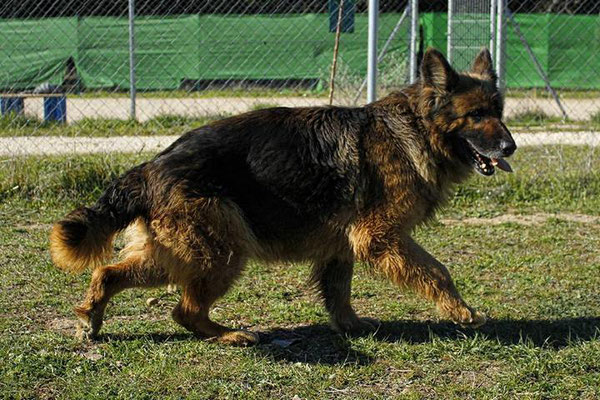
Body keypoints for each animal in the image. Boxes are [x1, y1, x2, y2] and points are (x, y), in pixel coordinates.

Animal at [49, 48, 516, 346]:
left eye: (499, 112)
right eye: (476, 115)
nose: (510, 147)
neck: (416, 129)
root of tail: (152, 166)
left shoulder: (342, 246)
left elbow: (338, 292)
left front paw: (350, 326)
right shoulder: (380, 237)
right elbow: (437, 271)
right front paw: (460, 312)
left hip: (179, 253)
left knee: (108, 273)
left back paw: (91, 320)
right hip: (223, 251)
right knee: (184, 311)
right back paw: (229, 335)